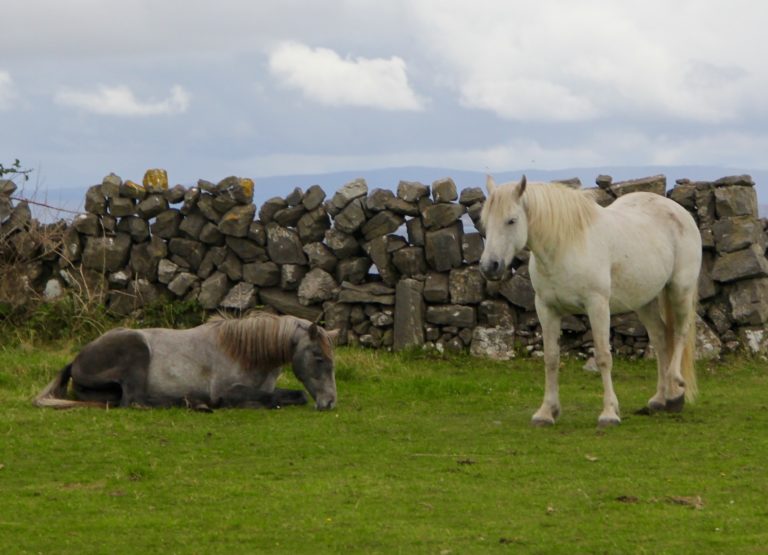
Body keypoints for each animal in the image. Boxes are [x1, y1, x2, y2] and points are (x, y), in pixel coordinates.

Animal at [34, 312, 339, 411]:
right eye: (318, 357)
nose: (330, 402)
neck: (243, 352)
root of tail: (76, 361)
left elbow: (296, 395)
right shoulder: (227, 391)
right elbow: (263, 398)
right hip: (137, 349)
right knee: (135, 401)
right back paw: (195, 403)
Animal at [480, 175, 701, 427]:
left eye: (511, 220)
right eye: (485, 222)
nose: (489, 267)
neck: (565, 246)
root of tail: (679, 211)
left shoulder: (597, 306)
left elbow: (603, 356)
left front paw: (609, 413)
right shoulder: (546, 308)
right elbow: (551, 358)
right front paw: (546, 412)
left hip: (680, 290)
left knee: (681, 332)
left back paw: (676, 386)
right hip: (645, 301)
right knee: (661, 338)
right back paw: (663, 399)